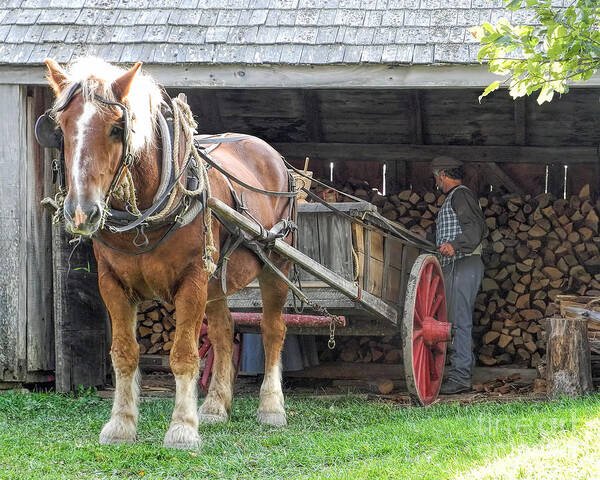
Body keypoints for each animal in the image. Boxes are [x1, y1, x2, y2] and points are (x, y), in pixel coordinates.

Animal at [42, 57, 296, 450]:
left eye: (117, 128)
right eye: (62, 128)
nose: (82, 212)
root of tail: (272, 155)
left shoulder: (191, 282)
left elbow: (184, 356)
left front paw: (182, 428)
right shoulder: (112, 284)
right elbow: (124, 354)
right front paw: (121, 425)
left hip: (275, 263)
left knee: (272, 329)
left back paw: (271, 407)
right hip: (215, 281)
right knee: (222, 331)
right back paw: (215, 406)